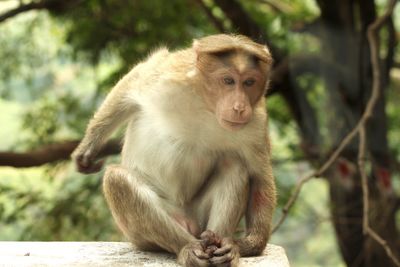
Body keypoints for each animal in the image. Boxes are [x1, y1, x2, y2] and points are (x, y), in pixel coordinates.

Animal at [72, 34, 276, 266]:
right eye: (228, 81)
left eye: (249, 82)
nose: (240, 107)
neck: (207, 106)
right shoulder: (168, 76)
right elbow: (136, 79)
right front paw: (87, 147)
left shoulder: (256, 121)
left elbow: (259, 176)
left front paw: (248, 244)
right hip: (145, 234)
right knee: (117, 180)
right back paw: (187, 248)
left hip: (198, 218)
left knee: (233, 165)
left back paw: (218, 245)